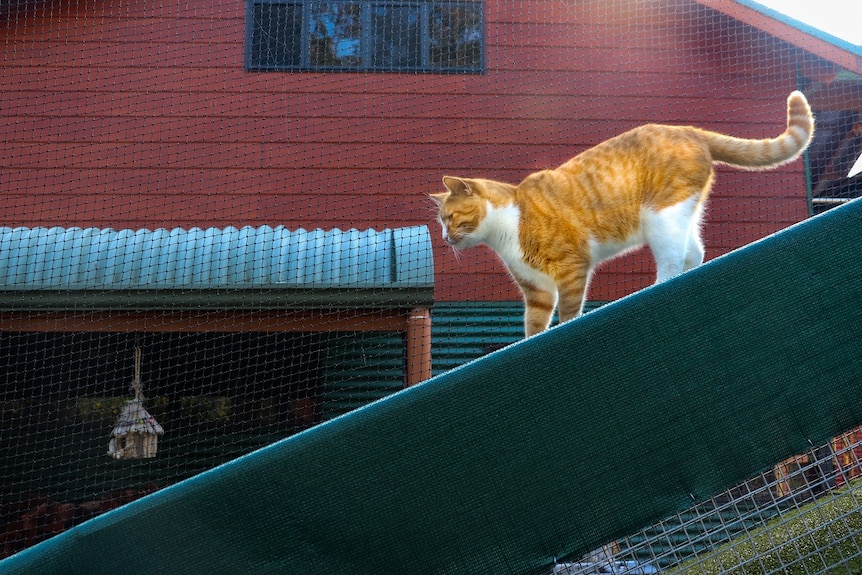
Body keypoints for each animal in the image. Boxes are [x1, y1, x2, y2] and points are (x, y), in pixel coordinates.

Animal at [432, 91, 816, 338]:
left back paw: (658, 284)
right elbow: (533, 326)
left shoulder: (571, 269)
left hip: (661, 218)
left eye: (450, 218)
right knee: (694, 253)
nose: (444, 237)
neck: (506, 229)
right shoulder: (536, 292)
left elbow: (569, 312)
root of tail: (687, 129)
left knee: (674, 261)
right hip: (678, 217)